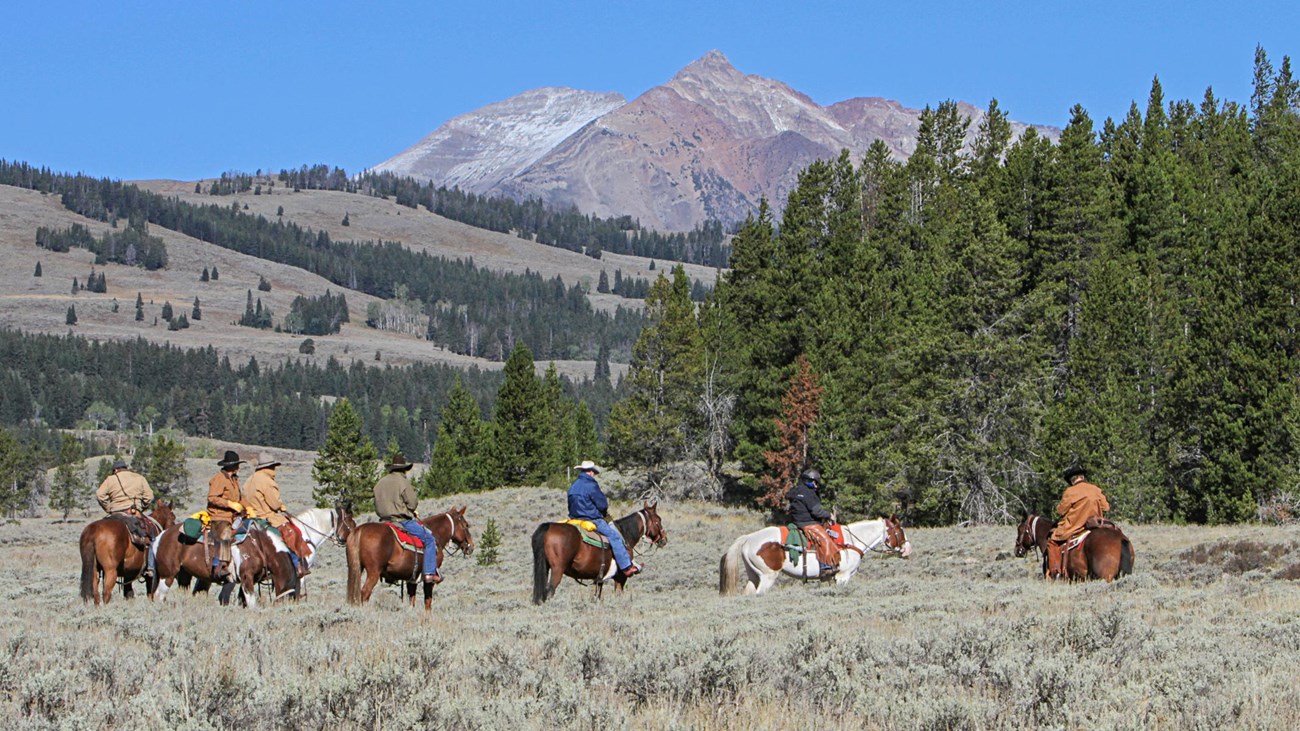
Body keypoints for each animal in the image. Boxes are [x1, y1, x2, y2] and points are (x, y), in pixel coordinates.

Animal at [345, 504, 473, 606]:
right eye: (466, 525)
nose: (471, 546)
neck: (435, 534)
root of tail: (360, 530)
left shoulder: (411, 579)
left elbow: (412, 600)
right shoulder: (429, 578)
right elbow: (428, 602)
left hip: (357, 568)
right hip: (373, 572)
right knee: (365, 593)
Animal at [530, 499, 665, 603]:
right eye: (658, 519)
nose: (664, 539)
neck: (625, 534)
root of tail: (549, 527)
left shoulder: (599, 579)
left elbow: (597, 595)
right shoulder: (620, 577)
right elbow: (618, 594)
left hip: (545, 567)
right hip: (557, 569)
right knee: (550, 590)